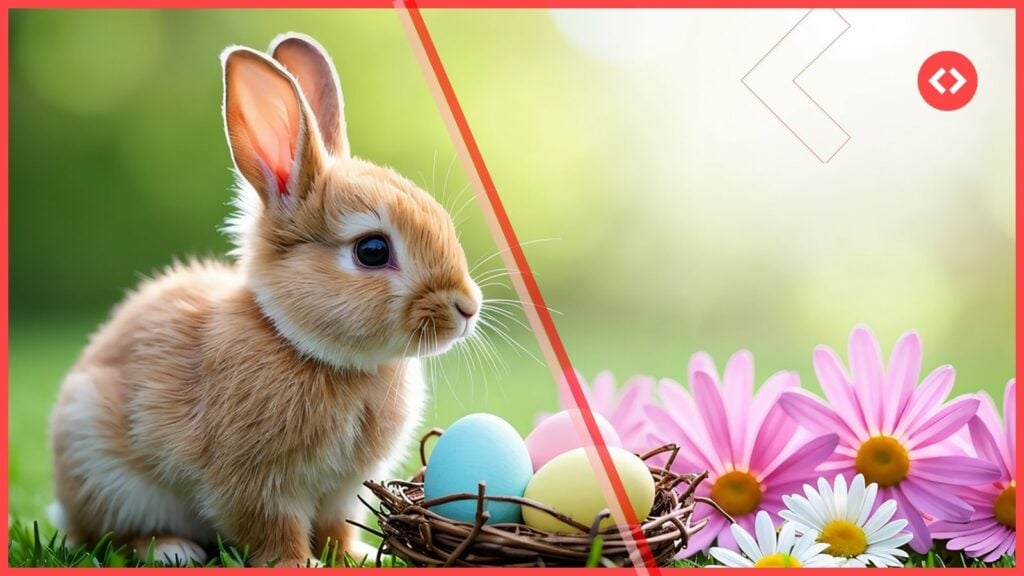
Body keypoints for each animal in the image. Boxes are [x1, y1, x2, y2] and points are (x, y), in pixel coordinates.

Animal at [48, 33, 482, 568]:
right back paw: (172, 550)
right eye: (372, 251)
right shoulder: (254, 480)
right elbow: (271, 525)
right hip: (105, 471)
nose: (467, 308)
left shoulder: (341, 491)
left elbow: (337, 525)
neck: (307, 348)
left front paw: (353, 557)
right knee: (110, 536)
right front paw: (301, 564)